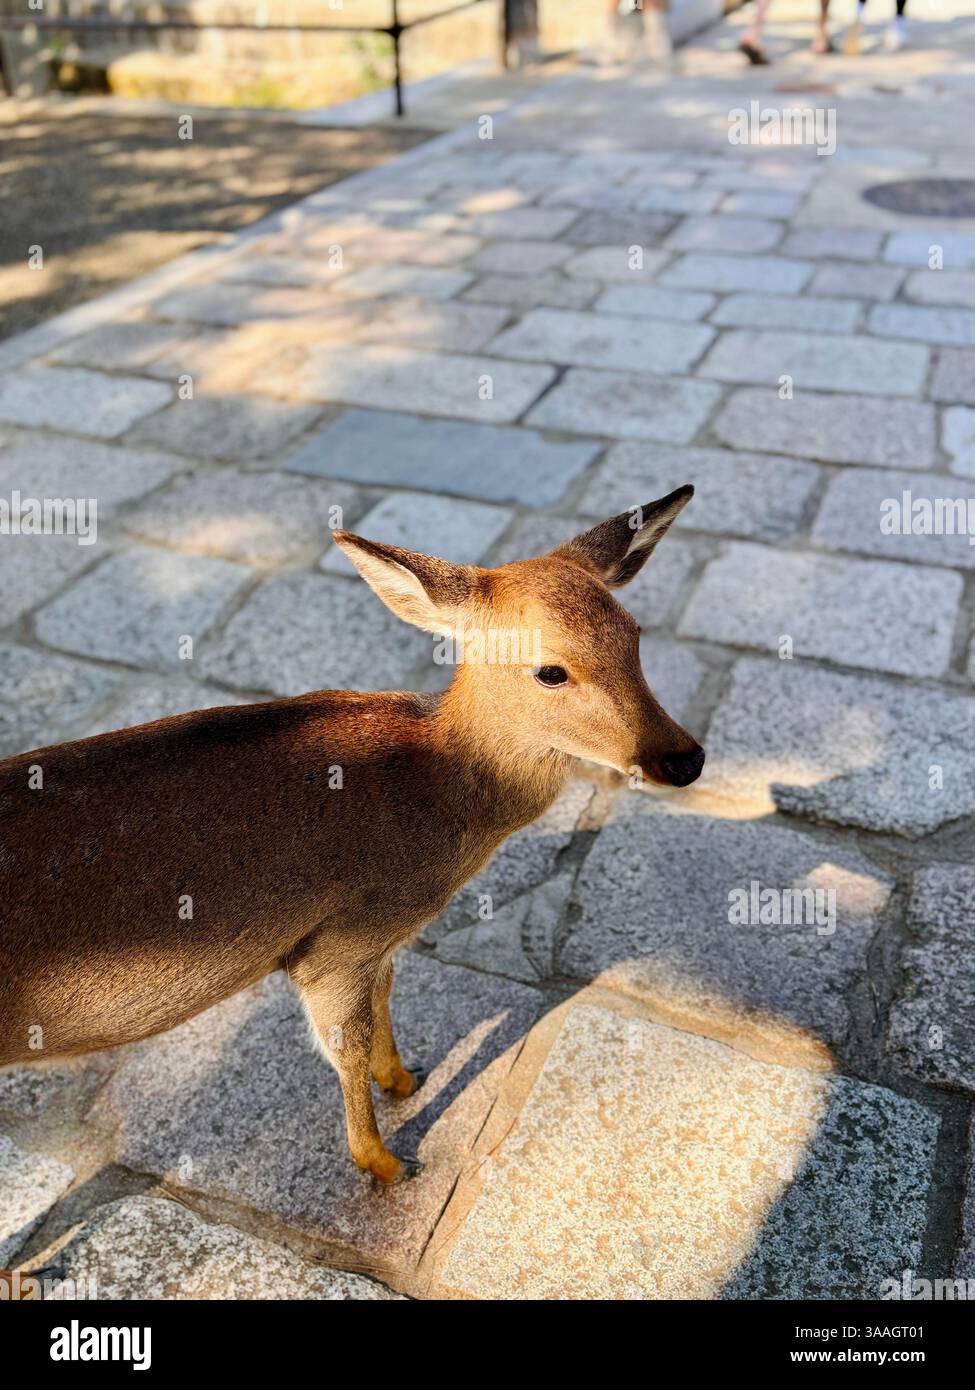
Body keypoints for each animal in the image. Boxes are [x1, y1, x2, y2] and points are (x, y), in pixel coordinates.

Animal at [0, 487, 704, 1185]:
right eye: (550, 670)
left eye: (635, 635)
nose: (686, 759)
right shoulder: (336, 941)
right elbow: (346, 1045)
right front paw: (387, 1164)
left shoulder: (379, 940)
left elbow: (386, 994)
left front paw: (404, 1078)